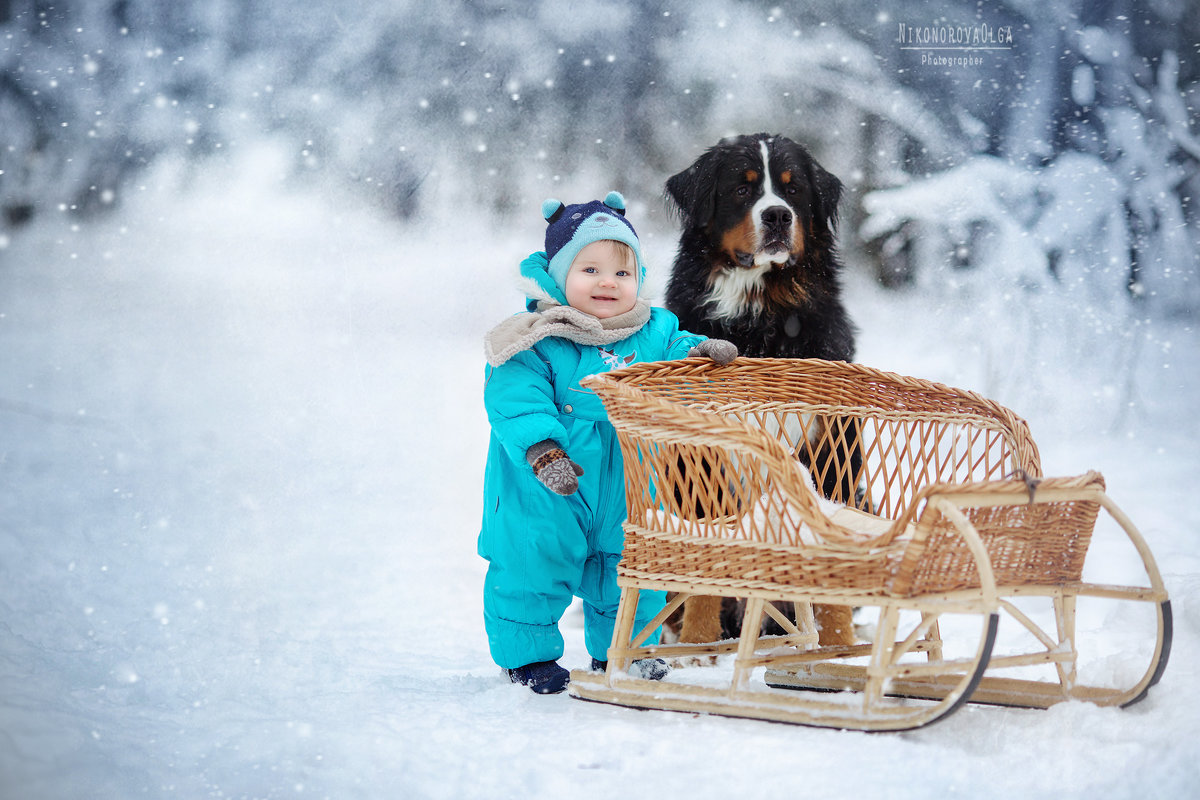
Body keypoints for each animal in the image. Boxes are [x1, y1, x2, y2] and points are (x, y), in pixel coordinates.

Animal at [662, 133, 859, 652]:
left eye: (793, 191)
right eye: (742, 189)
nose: (777, 216)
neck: (761, 314)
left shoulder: (828, 449)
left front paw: (837, 646)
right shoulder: (700, 456)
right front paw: (699, 641)